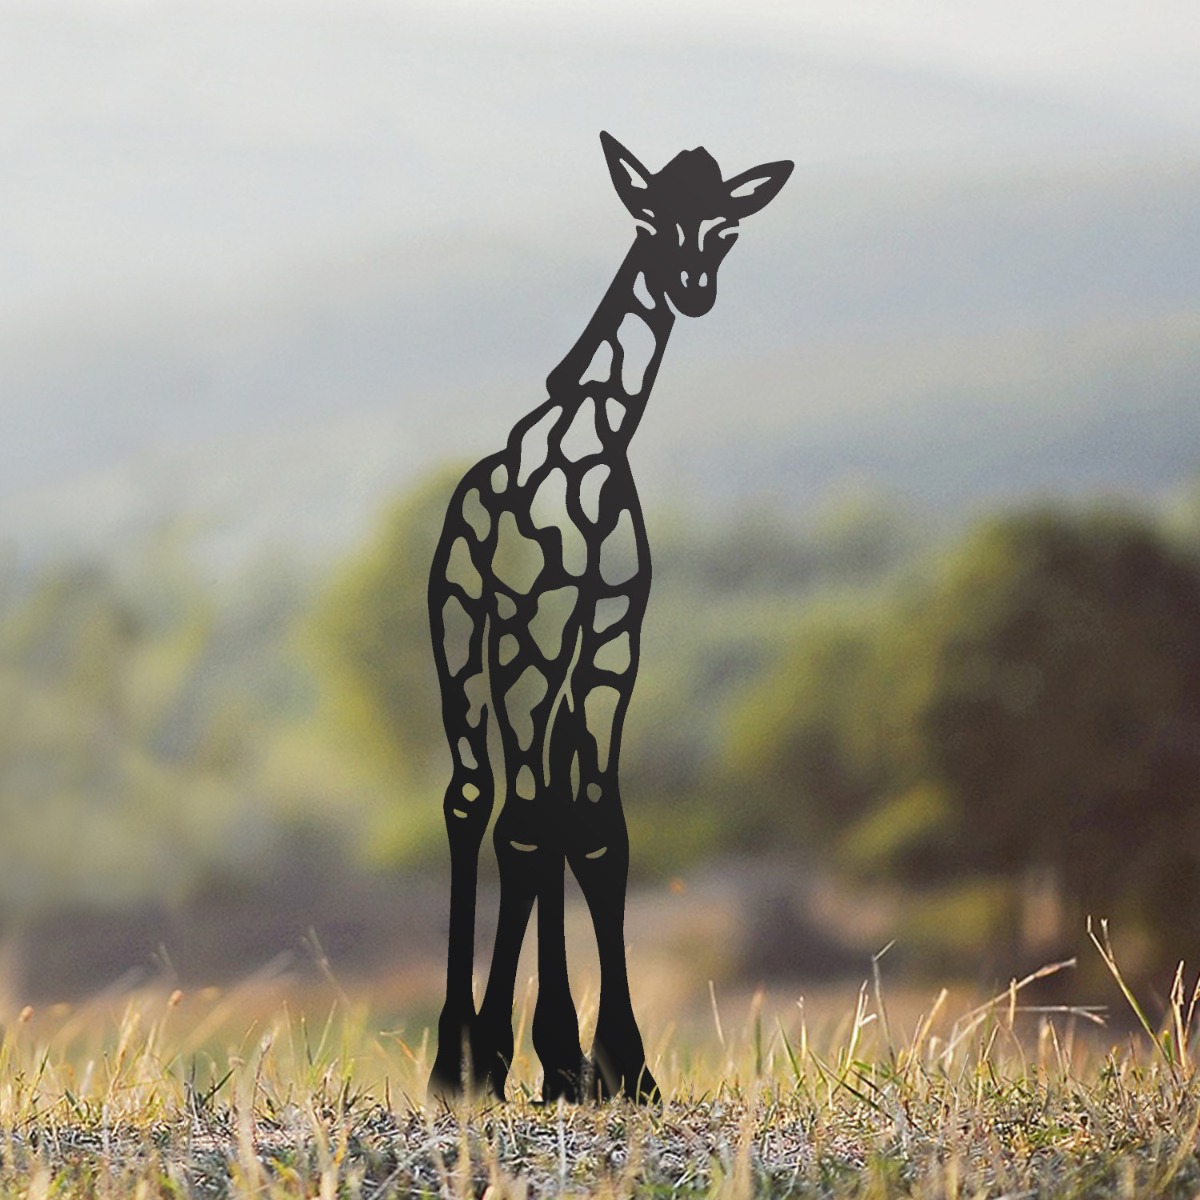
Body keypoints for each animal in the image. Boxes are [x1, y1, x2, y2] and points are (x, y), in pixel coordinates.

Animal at [427, 131, 793, 1104]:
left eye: (726, 227)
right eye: (651, 218)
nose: (693, 289)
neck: (596, 443)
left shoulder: (612, 640)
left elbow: (595, 824)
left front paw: (619, 1066)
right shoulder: (535, 625)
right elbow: (526, 825)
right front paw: (497, 1059)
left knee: (541, 799)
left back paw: (552, 1057)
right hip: (465, 636)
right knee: (475, 797)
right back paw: (457, 1060)